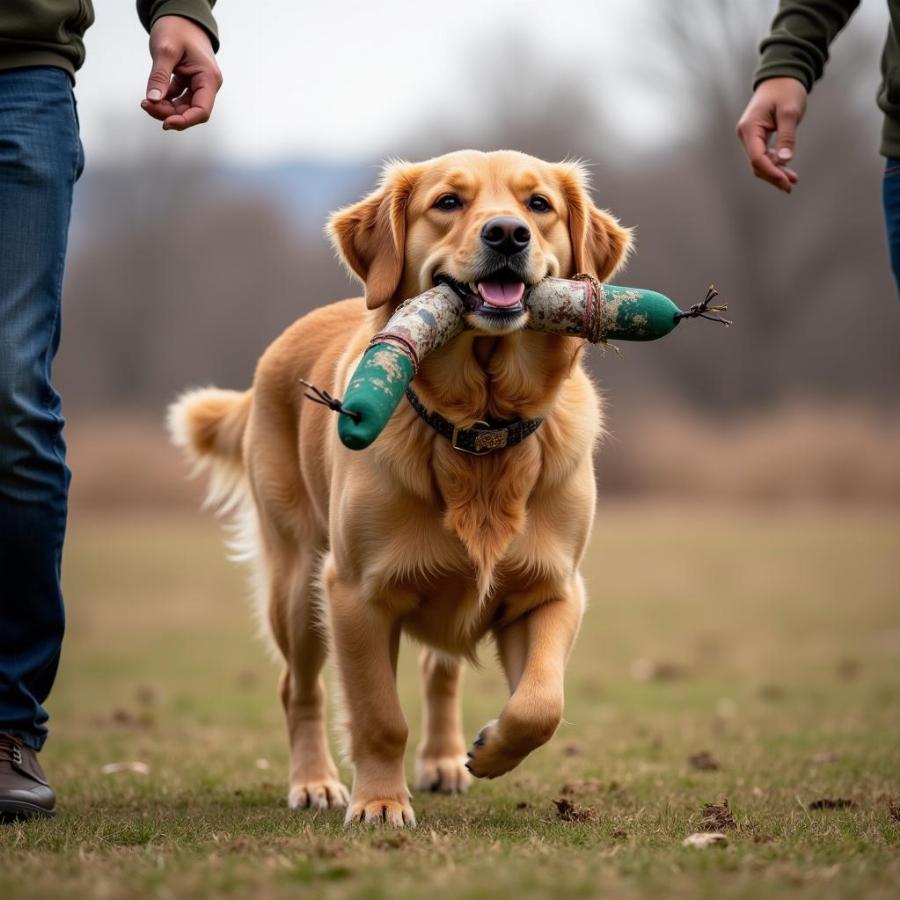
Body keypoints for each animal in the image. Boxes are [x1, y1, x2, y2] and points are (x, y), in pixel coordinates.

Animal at [169, 149, 632, 828]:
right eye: (448, 202)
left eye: (538, 205)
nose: (508, 234)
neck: (479, 429)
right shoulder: (355, 595)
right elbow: (379, 716)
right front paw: (380, 802)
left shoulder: (551, 590)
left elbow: (541, 704)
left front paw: (489, 751)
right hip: (297, 585)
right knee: (298, 687)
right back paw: (315, 782)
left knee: (440, 670)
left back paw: (442, 762)